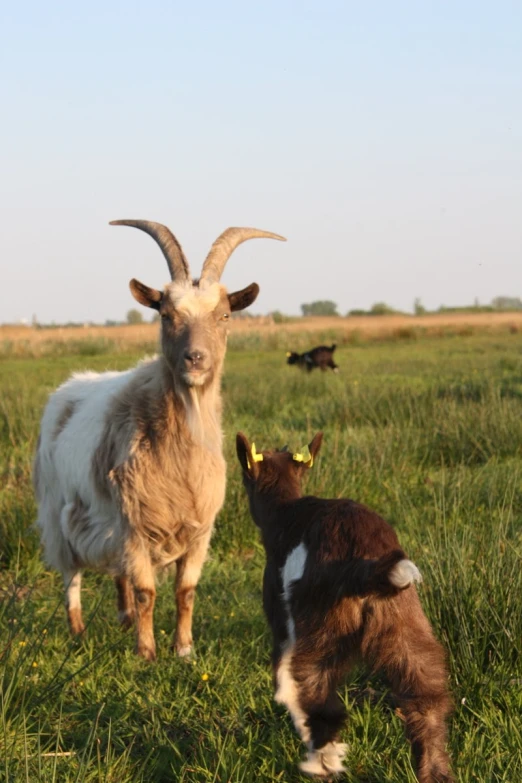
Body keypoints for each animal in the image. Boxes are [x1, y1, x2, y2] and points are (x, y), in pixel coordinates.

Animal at [33, 220, 284, 660]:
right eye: (166, 314)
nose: (195, 358)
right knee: (71, 574)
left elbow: (186, 591)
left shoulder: (198, 531)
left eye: (224, 315)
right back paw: (77, 631)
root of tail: (66, 389)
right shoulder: (134, 526)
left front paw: (183, 648)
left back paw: (124, 618)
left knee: (116, 574)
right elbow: (147, 591)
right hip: (60, 510)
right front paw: (146, 653)